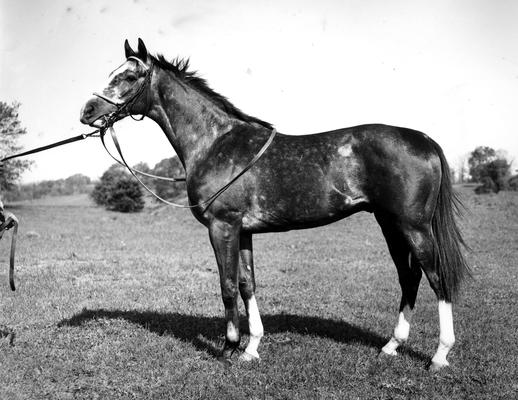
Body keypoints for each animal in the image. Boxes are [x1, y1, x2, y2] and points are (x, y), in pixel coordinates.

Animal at [80, 39, 472, 370]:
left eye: (129, 76)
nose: (87, 110)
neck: (215, 143)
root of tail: (423, 140)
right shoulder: (242, 231)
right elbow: (247, 284)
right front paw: (251, 347)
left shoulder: (222, 226)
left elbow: (226, 285)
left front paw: (229, 347)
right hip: (389, 224)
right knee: (409, 277)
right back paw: (392, 345)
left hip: (413, 226)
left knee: (436, 277)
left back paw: (439, 356)